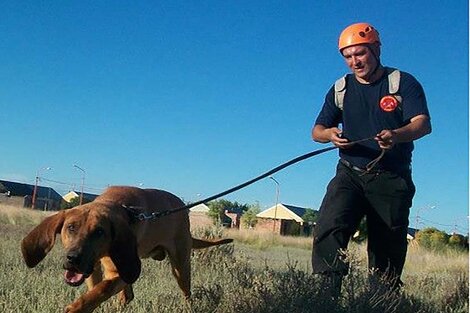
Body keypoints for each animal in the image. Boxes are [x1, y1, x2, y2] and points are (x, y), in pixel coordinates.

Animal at [20, 186, 233, 310]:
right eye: (71, 227)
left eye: (99, 232)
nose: (73, 259)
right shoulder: (96, 267)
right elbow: (96, 288)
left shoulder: (122, 271)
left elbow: (100, 290)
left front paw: (77, 308)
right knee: (128, 295)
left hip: (180, 266)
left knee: (186, 292)